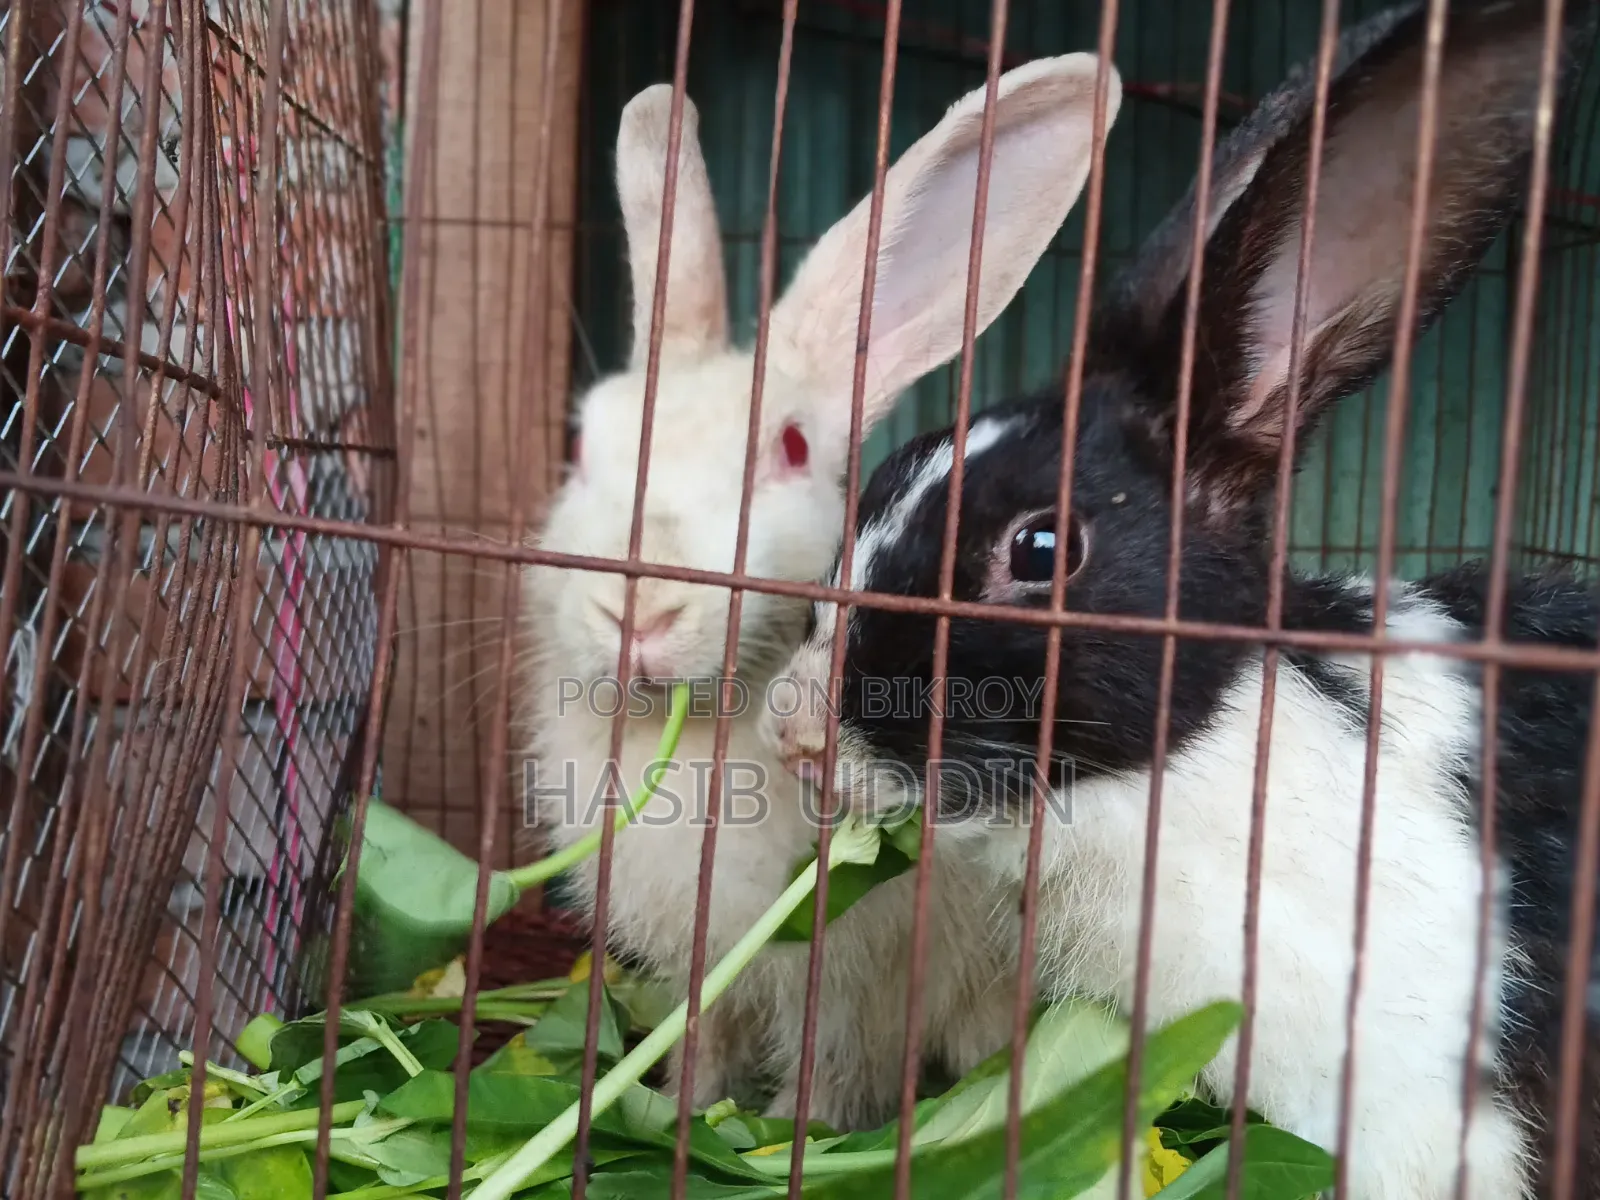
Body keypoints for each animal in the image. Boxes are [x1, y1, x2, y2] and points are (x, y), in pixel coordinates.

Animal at [519, 55, 1123, 1130]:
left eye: (793, 449)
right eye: (585, 445)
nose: (639, 612)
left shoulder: (850, 988)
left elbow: (829, 1073)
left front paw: (792, 1138)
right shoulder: (703, 974)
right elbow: (703, 1045)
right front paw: (685, 1114)